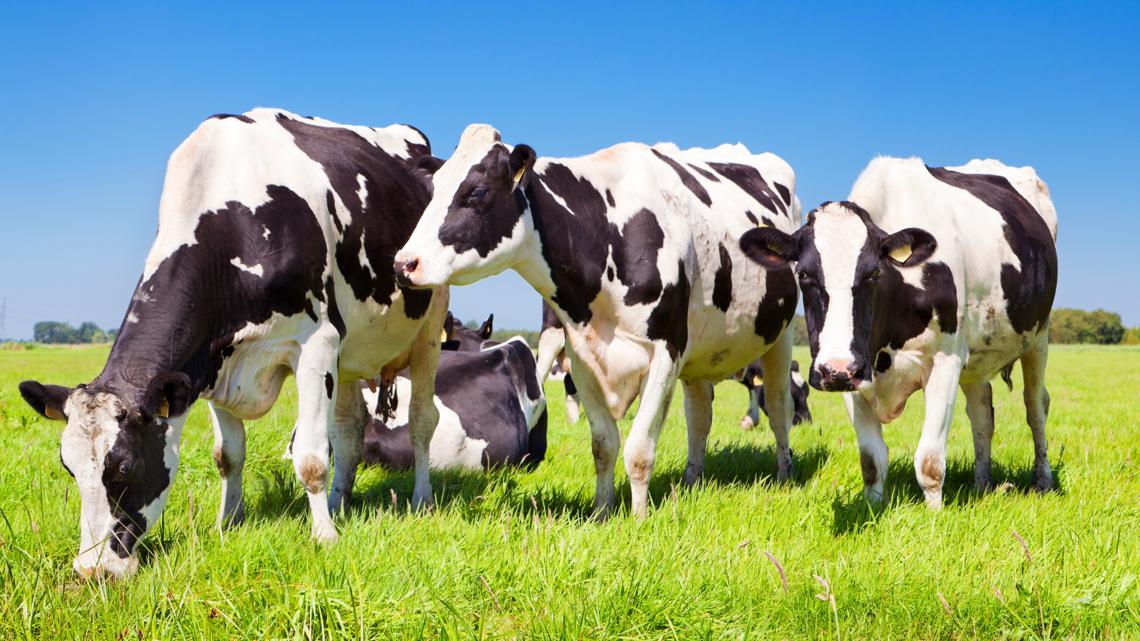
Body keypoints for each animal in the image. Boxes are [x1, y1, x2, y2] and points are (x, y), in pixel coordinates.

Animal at [17, 109, 448, 578]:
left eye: (125, 466)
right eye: (69, 468)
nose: (92, 570)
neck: (239, 218)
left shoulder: (317, 342)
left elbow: (312, 458)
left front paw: (324, 538)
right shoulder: (208, 364)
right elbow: (229, 455)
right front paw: (228, 524)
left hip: (430, 326)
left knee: (422, 420)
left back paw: (421, 500)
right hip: (351, 351)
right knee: (350, 430)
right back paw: (338, 504)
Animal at [393, 124, 801, 518]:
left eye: (476, 191)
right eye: (434, 189)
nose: (403, 263)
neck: (606, 234)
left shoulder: (666, 351)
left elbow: (638, 449)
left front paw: (638, 518)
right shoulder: (582, 357)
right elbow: (604, 445)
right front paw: (602, 511)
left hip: (779, 336)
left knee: (779, 405)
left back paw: (784, 475)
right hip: (701, 349)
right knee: (699, 415)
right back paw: (691, 481)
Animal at [740, 157, 1058, 508]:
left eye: (874, 273)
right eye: (804, 274)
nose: (835, 370)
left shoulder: (946, 360)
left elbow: (929, 460)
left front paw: (935, 516)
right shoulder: (854, 372)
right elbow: (872, 461)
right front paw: (873, 507)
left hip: (1039, 336)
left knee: (1035, 405)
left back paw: (1042, 480)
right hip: (975, 359)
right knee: (982, 414)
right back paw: (982, 484)